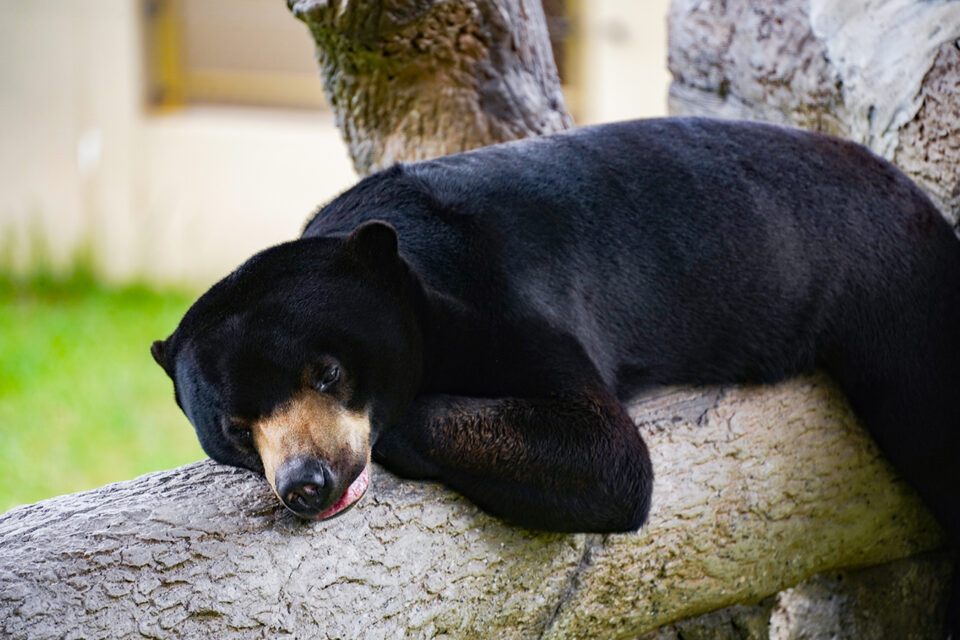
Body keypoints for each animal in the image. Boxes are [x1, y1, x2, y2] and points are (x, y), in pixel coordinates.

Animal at [151, 117, 960, 626]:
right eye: (235, 428)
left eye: (327, 373)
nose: (306, 484)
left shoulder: (510, 300)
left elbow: (609, 458)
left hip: (901, 299)